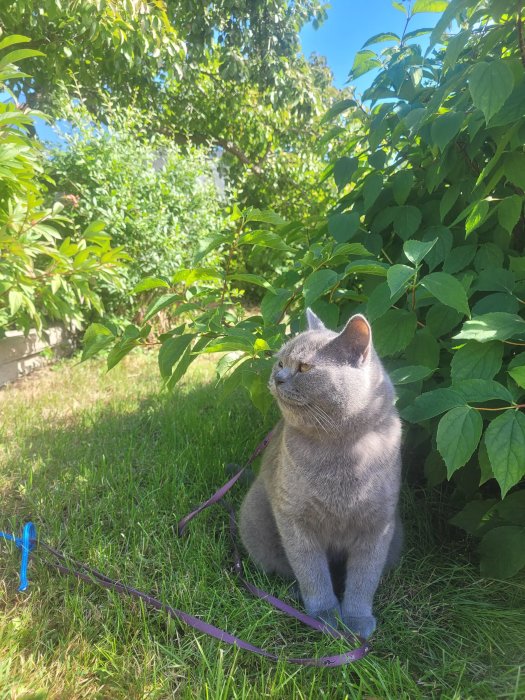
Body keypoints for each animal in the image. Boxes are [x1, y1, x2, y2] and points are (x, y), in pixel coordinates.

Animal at [237, 308, 402, 636]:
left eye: (304, 367)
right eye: (281, 362)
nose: (277, 377)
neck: (342, 452)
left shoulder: (378, 524)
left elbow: (365, 578)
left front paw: (357, 620)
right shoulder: (293, 518)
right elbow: (311, 571)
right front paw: (325, 617)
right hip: (255, 514)